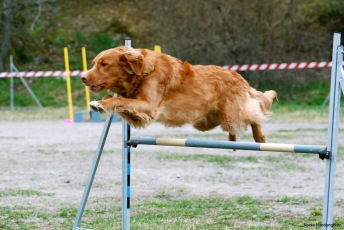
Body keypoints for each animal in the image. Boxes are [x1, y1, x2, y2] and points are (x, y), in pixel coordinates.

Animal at [81, 46, 276, 142]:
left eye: (104, 64)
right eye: (93, 63)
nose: (82, 77)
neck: (143, 71)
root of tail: (239, 76)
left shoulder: (149, 106)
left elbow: (120, 100)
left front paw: (100, 104)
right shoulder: (139, 112)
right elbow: (119, 100)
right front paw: (101, 102)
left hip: (232, 116)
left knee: (253, 115)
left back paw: (259, 137)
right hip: (208, 121)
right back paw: (232, 140)